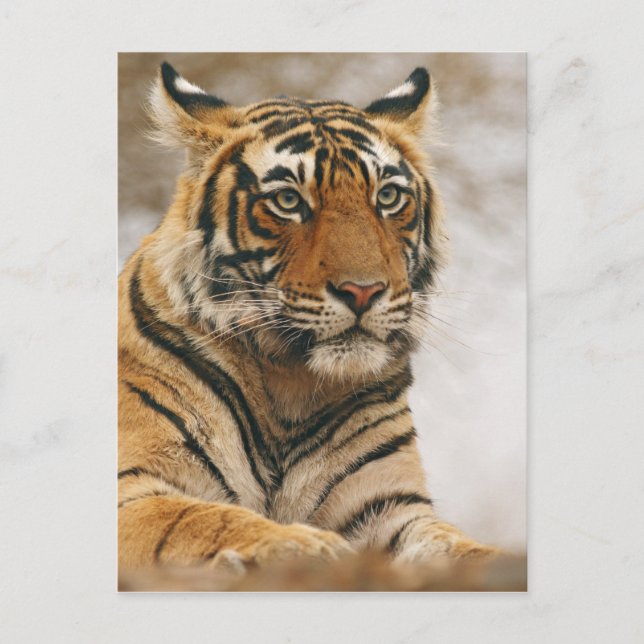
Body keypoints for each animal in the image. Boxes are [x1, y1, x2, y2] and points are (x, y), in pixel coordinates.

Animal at [118, 61, 499, 575]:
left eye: (388, 196)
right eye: (288, 201)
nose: (363, 291)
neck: (289, 385)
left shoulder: (390, 505)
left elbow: (455, 547)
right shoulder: (134, 485)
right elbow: (199, 518)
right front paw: (303, 546)